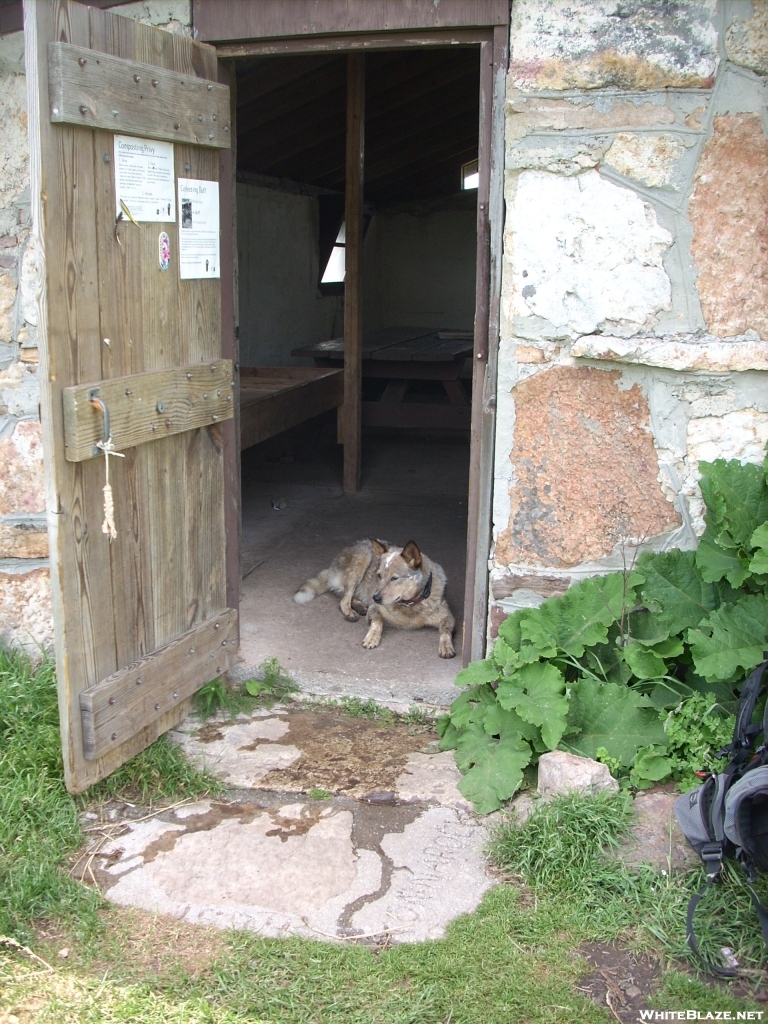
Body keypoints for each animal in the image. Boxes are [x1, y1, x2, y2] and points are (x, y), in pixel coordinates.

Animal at [290, 540, 454, 659]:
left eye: (394, 578)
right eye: (379, 575)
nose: (375, 597)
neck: (410, 606)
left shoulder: (449, 617)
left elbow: (445, 630)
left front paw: (446, 646)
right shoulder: (375, 609)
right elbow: (377, 622)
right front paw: (371, 637)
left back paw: (359, 605)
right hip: (363, 557)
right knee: (344, 598)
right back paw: (351, 611)